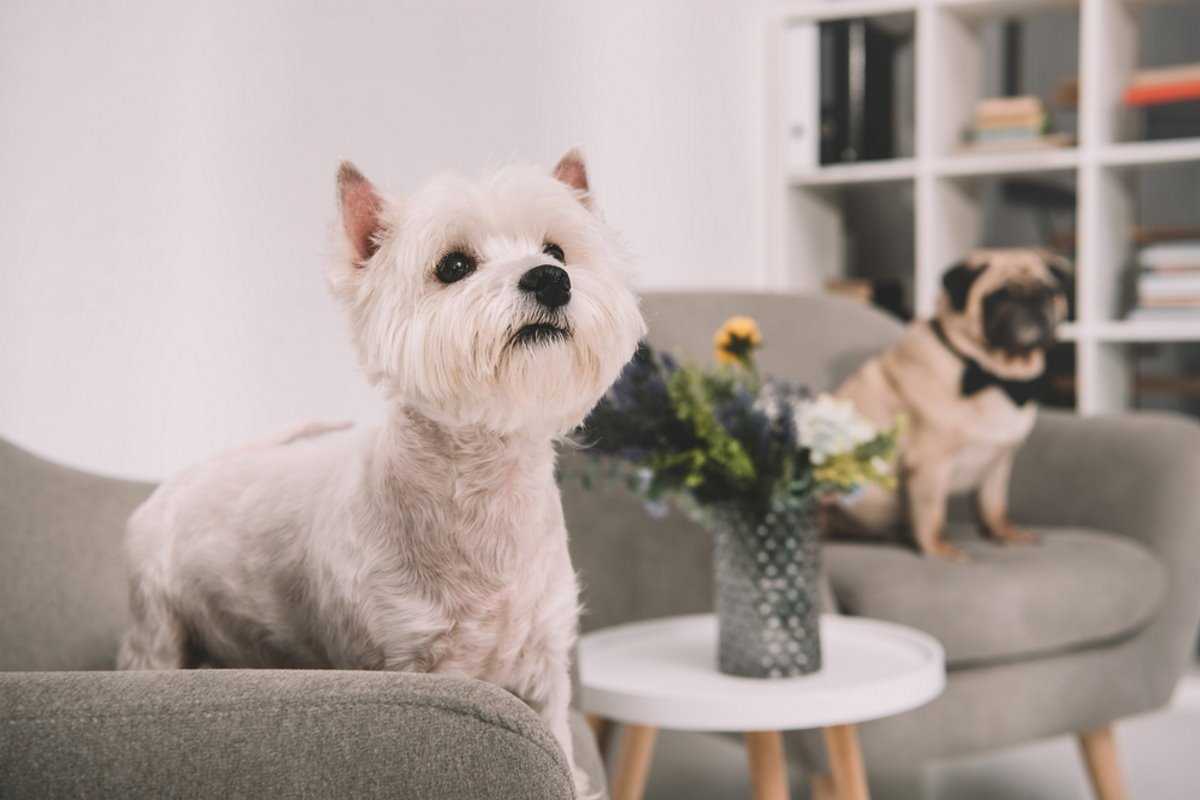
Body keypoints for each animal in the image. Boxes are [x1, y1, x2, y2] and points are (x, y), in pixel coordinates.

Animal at [119, 149, 648, 796]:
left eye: (557, 251)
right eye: (453, 265)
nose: (550, 279)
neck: (484, 483)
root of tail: (174, 483)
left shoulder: (544, 666)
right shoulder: (405, 656)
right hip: (154, 627)